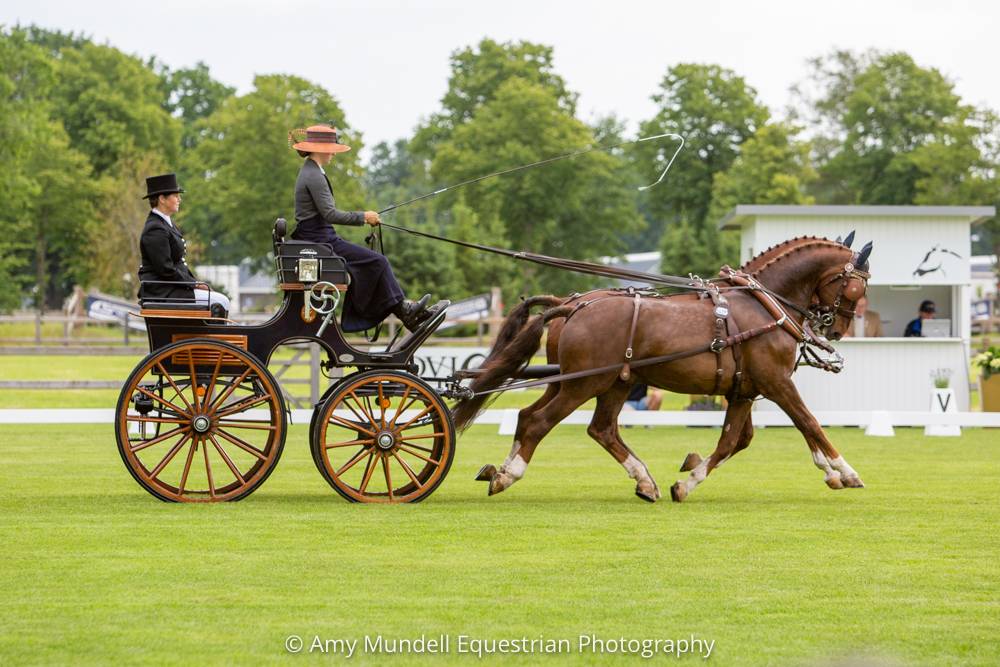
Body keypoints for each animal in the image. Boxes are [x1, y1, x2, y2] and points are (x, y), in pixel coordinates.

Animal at [450, 237, 872, 504]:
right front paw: (845, 471)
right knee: (540, 422)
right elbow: (809, 422)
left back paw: (641, 481)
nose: (835, 329)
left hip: (603, 382)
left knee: (579, 425)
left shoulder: (743, 391)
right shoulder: (776, 383)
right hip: (584, 384)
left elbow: (735, 441)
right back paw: (509, 475)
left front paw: (687, 480)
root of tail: (570, 305)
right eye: (858, 287)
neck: (761, 306)